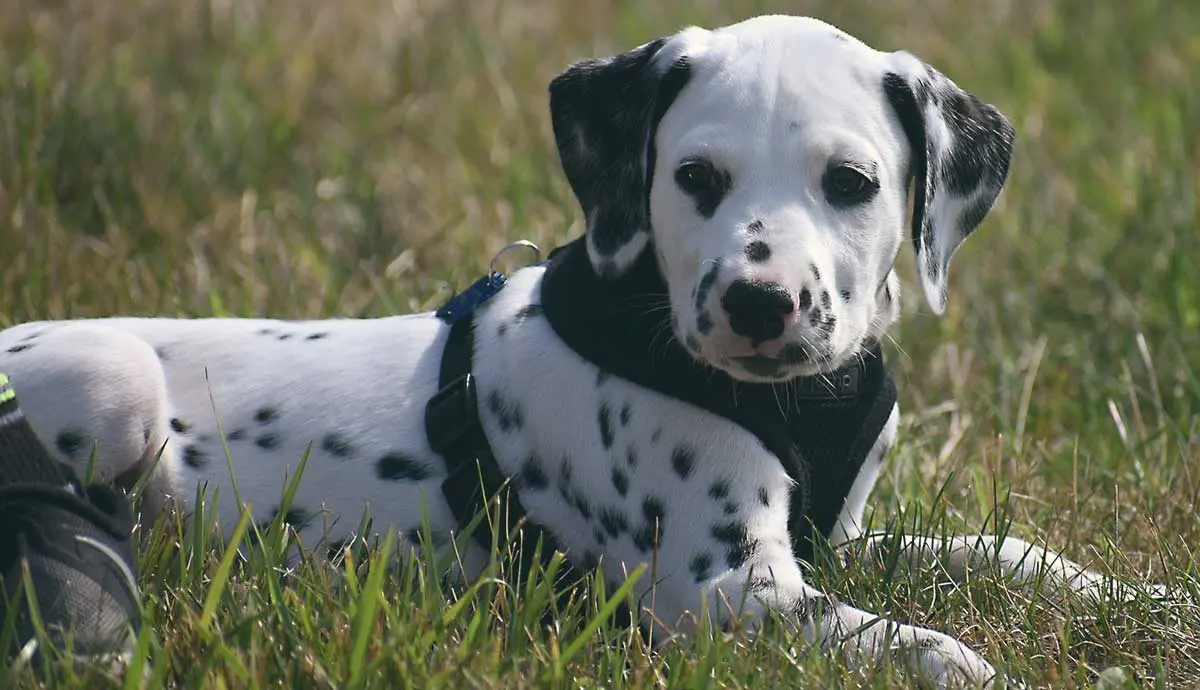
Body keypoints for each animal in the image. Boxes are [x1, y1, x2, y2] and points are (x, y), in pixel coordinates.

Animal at [0, 13, 1132, 686]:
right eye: (696, 178)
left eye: (850, 183)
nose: (758, 303)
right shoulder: (722, 594)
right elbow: (923, 645)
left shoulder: (834, 541)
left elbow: (1000, 552)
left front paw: (1135, 601)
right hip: (112, 382)